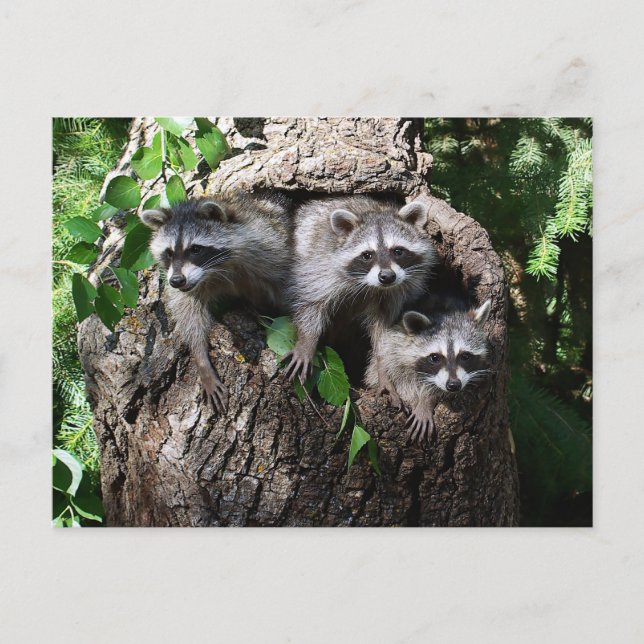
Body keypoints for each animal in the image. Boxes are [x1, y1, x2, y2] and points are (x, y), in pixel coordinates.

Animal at [140, 192, 292, 413]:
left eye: (195, 249)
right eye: (169, 253)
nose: (176, 280)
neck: (215, 270)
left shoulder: (269, 248)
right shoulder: (189, 287)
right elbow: (188, 315)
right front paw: (201, 360)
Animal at [283, 195, 438, 383]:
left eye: (398, 251)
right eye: (367, 255)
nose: (387, 277)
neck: (370, 286)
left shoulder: (394, 293)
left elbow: (383, 328)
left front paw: (381, 364)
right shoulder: (319, 265)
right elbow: (310, 302)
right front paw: (307, 341)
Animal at [365, 298, 492, 444]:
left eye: (465, 356)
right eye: (435, 357)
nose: (453, 385)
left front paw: (426, 399)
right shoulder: (394, 344)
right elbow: (395, 373)